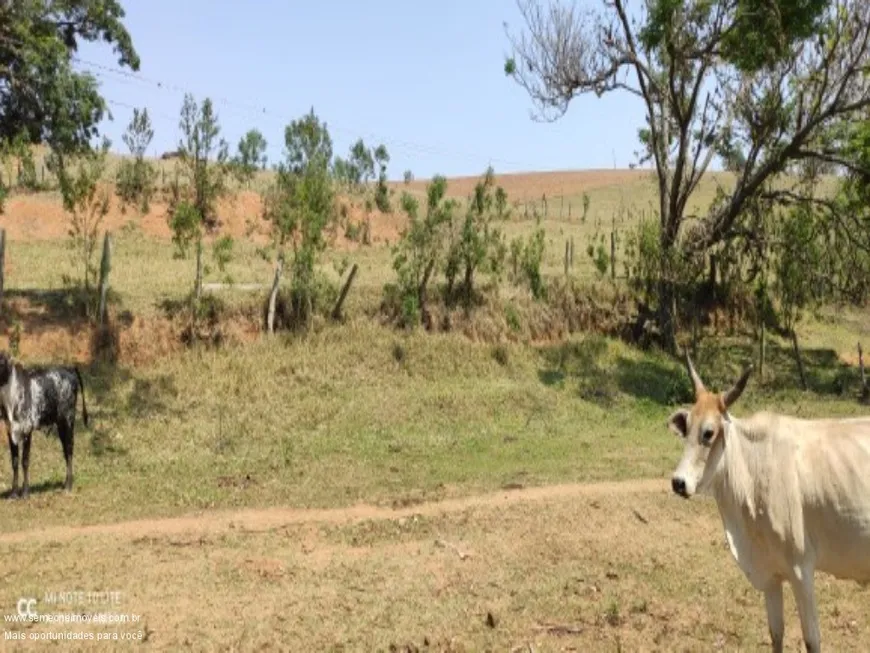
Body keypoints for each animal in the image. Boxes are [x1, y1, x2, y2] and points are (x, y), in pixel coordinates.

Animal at [0, 354, 89, 496]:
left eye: (1, 363)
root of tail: (69, 369)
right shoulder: (10, 431)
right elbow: (14, 461)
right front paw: (13, 493)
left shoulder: (27, 430)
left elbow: (25, 460)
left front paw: (25, 492)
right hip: (60, 425)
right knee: (66, 451)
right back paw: (65, 483)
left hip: (68, 421)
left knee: (69, 450)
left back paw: (68, 485)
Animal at [672, 354, 868, 648]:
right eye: (686, 429)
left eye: (708, 433)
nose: (678, 482)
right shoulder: (770, 576)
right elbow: (776, 633)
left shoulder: (801, 570)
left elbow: (812, 640)